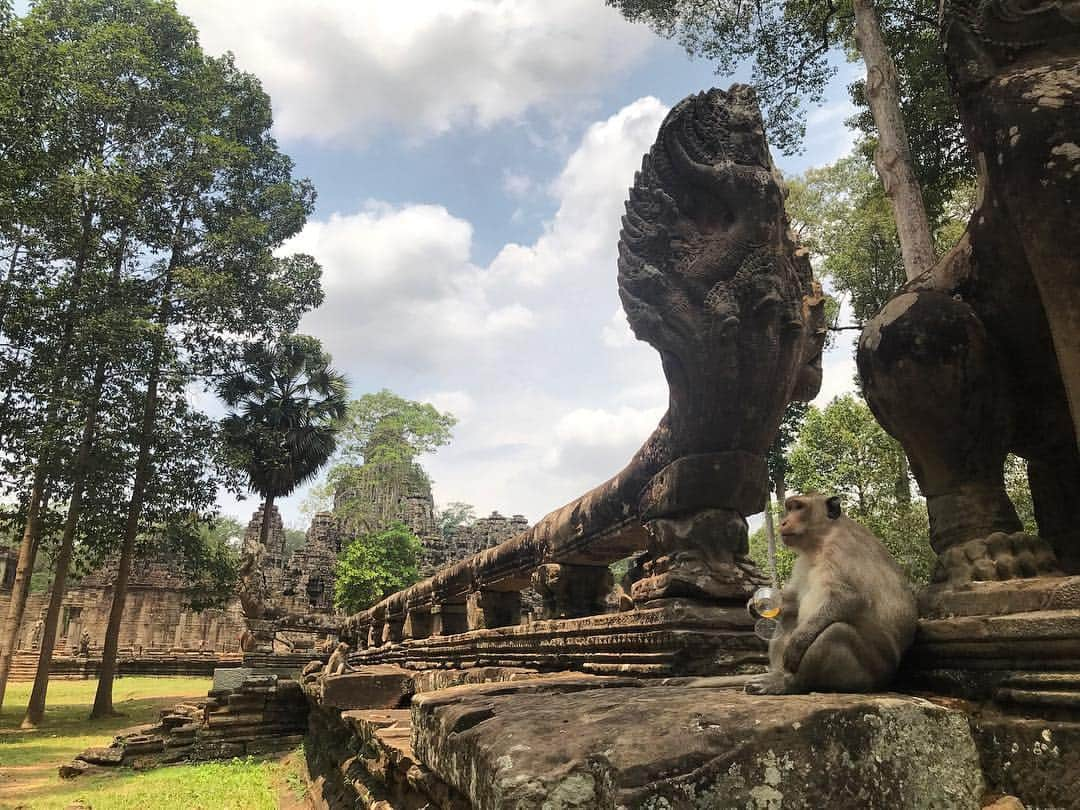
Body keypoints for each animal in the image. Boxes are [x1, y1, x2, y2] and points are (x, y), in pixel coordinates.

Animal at [747, 494, 915, 699]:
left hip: (869, 672)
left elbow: (849, 598)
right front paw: (757, 604)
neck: (821, 539)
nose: (784, 522)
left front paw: (798, 640)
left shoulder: (841, 549)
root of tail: (886, 681)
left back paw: (790, 683)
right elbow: (794, 601)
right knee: (789, 619)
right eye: (790, 508)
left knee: (834, 632)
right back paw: (780, 675)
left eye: (799, 507)